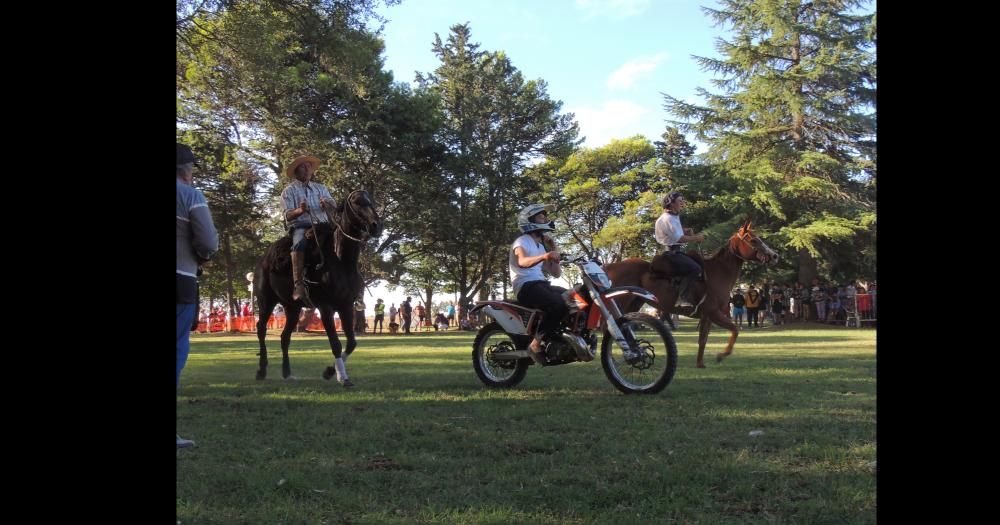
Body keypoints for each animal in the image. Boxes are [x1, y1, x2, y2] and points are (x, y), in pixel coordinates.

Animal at [254, 189, 382, 384]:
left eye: (371, 200)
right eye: (356, 201)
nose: (377, 225)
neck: (340, 261)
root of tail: (263, 261)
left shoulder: (345, 306)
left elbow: (351, 343)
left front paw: (330, 371)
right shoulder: (325, 308)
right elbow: (336, 344)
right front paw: (342, 378)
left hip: (292, 308)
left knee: (285, 337)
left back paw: (287, 373)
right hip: (265, 302)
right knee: (261, 329)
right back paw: (261, 370)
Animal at [600, 223, 780, 366]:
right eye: (753, 240)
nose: (774, 256)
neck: (718, 273)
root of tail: (609, 267)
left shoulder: (707, 316)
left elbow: (703, 340)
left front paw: (700, 364)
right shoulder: (714, 313)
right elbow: (735, 330)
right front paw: (721, 355)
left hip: (632, 305)